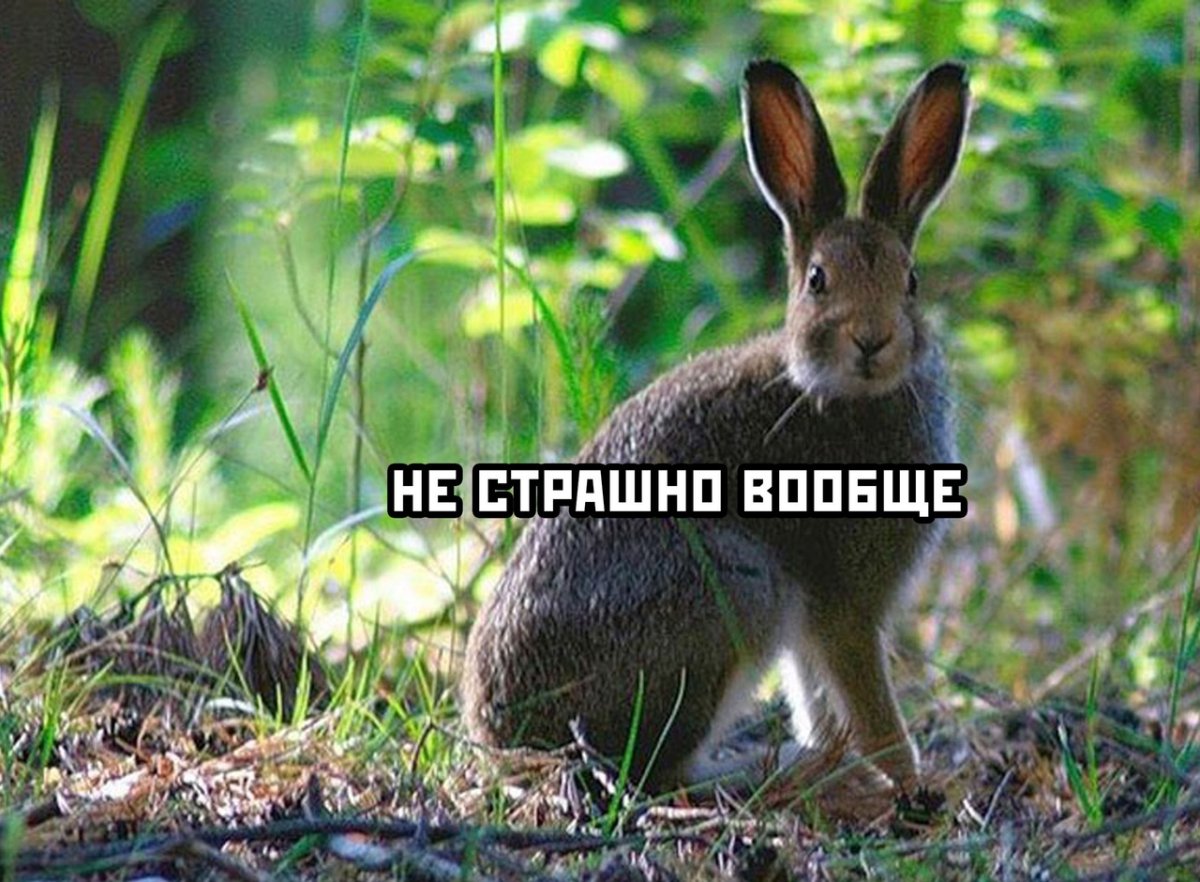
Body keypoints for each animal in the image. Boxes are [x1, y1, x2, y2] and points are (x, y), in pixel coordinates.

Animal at [462, 58, 969, 795]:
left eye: (912, 281)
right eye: (818, 280)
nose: (872, 340)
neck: (834, 394)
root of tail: (504, 737)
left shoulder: (815, 620)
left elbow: (817, 698)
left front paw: (845, 760)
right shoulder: (846, 607)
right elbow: (870, 704)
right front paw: (910, 782)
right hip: (733, 587)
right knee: (655, 771)